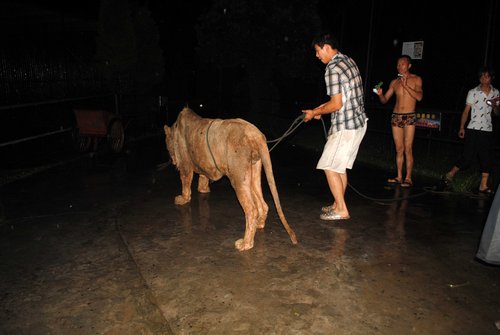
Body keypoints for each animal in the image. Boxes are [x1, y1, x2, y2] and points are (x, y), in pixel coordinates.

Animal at [164, 107, 298, 252]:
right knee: (263, 204)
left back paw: (245, 243)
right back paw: (259, 225)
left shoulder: (185, 165)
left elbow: (185, 182)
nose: (172, 161)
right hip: (253, 171)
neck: (175, 129)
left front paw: (182, 199)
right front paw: (203, 189)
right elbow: (203, 177)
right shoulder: (204, 163)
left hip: (238, 178)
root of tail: (256, 135)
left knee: (251, 210)